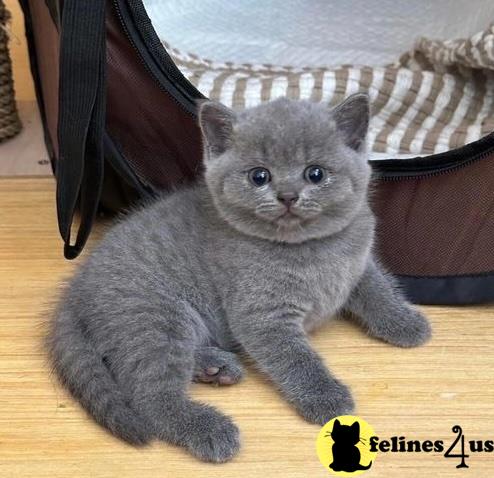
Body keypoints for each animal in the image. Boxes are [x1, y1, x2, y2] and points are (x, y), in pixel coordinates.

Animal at [48, 94, 430, 464]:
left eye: (316, 173)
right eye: (259, 176)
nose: (288, 195)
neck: (310, 247)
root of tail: (75, 289)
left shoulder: (358, 262)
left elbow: (378, 289)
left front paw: (404, 322)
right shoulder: (262, 316)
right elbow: (296, 358)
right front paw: (324, 395)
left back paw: (214, 367)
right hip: (154, 316)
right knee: (149, 396)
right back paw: (208, 427)